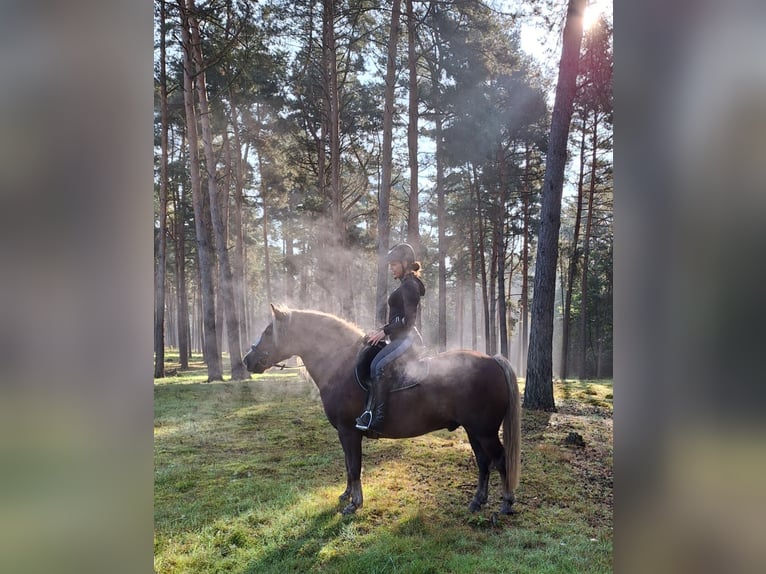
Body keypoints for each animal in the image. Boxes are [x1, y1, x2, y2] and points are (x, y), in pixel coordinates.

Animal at [243, 304, 521, 516]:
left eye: (268, 331)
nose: (247, 360)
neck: (342, 364)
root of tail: (493, 360)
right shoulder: (345, 434)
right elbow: (348, 465)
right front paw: (346, 495)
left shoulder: (349, 431)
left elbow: (354, 466)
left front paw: (355, 504)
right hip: (474, 431)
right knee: (483, 462)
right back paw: (477, 502)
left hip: (485, 432)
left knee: (500, 460)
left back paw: (506, 504)